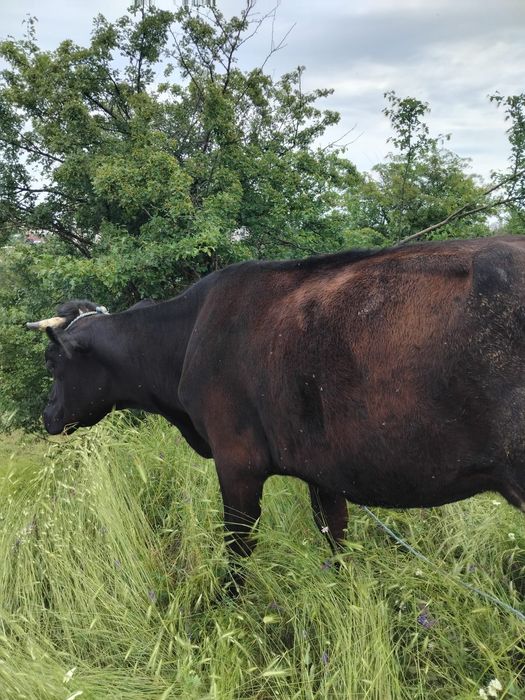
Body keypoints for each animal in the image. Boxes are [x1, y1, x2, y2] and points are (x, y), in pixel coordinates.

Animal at [27, 235, 525, 580]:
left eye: (52, 362)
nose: (48, 417)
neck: (187, 339)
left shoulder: (236, 460)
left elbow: (238, 547)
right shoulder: (323, 467)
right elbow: (335, 534)